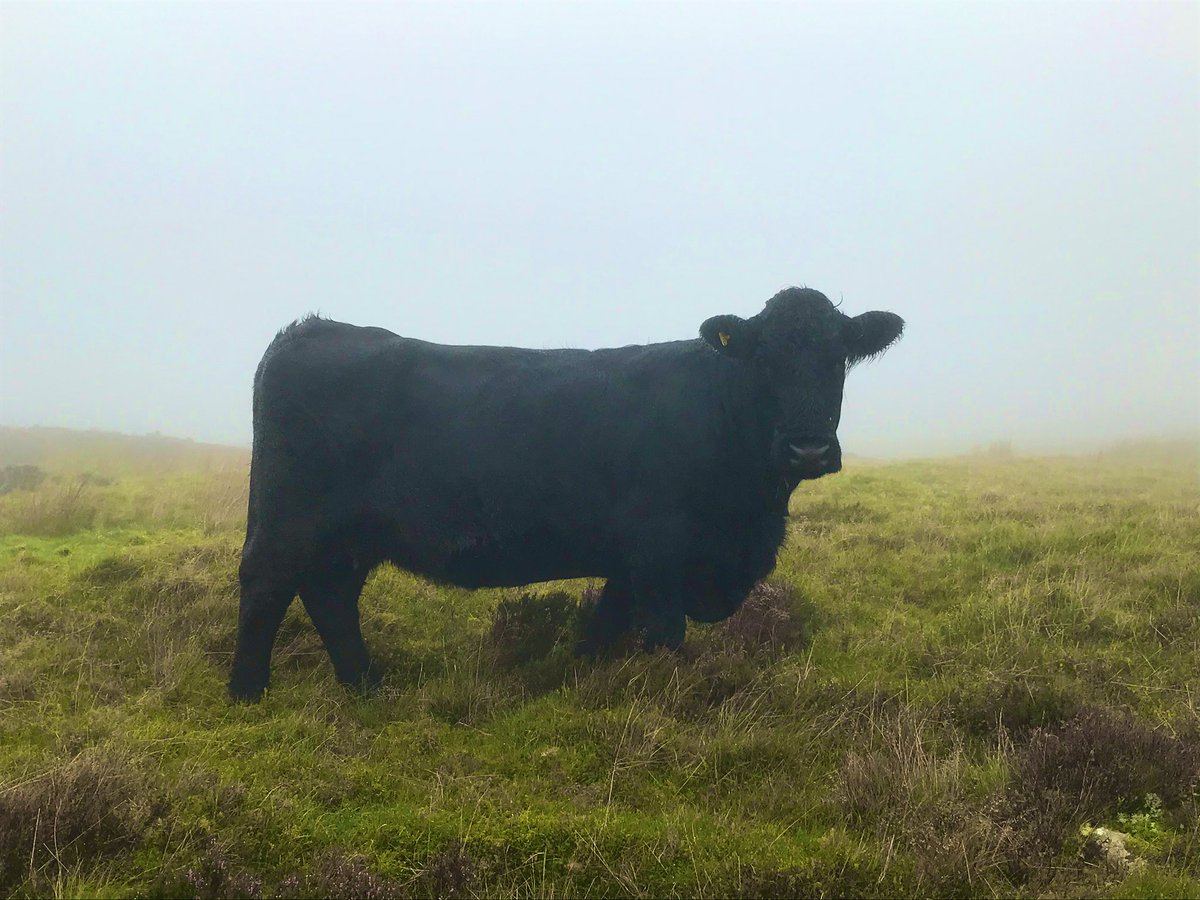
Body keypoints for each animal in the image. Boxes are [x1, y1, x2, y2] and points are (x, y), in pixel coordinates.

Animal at [228, 287, 904, 701]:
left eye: (839, 358)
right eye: (764, 359)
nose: (808, 450)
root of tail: (312, 328)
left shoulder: (629, 564)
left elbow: (602, 630)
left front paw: (579, 683)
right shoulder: (659, 552)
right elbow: (664, 637)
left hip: (351, 534)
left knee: (330, 595)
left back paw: (366, 686)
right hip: (290, 519)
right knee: (267, 586)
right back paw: (247, 692)